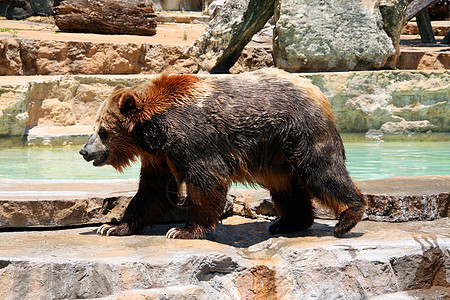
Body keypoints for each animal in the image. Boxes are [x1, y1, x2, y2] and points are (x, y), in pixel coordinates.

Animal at [80, 68, 366, 239]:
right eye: (94, 127)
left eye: (103, 131)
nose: (84, 150)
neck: (153, 131)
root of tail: (317, 91)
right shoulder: (160, 156)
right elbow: (152, 191)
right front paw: (112, 226)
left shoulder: (191, 137)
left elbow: (207, 178)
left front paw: (183, 230)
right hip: (277, 153)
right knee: (287, 186)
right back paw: (288, 222)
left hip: (299, 132)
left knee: (321, 171)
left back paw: (348, 217)